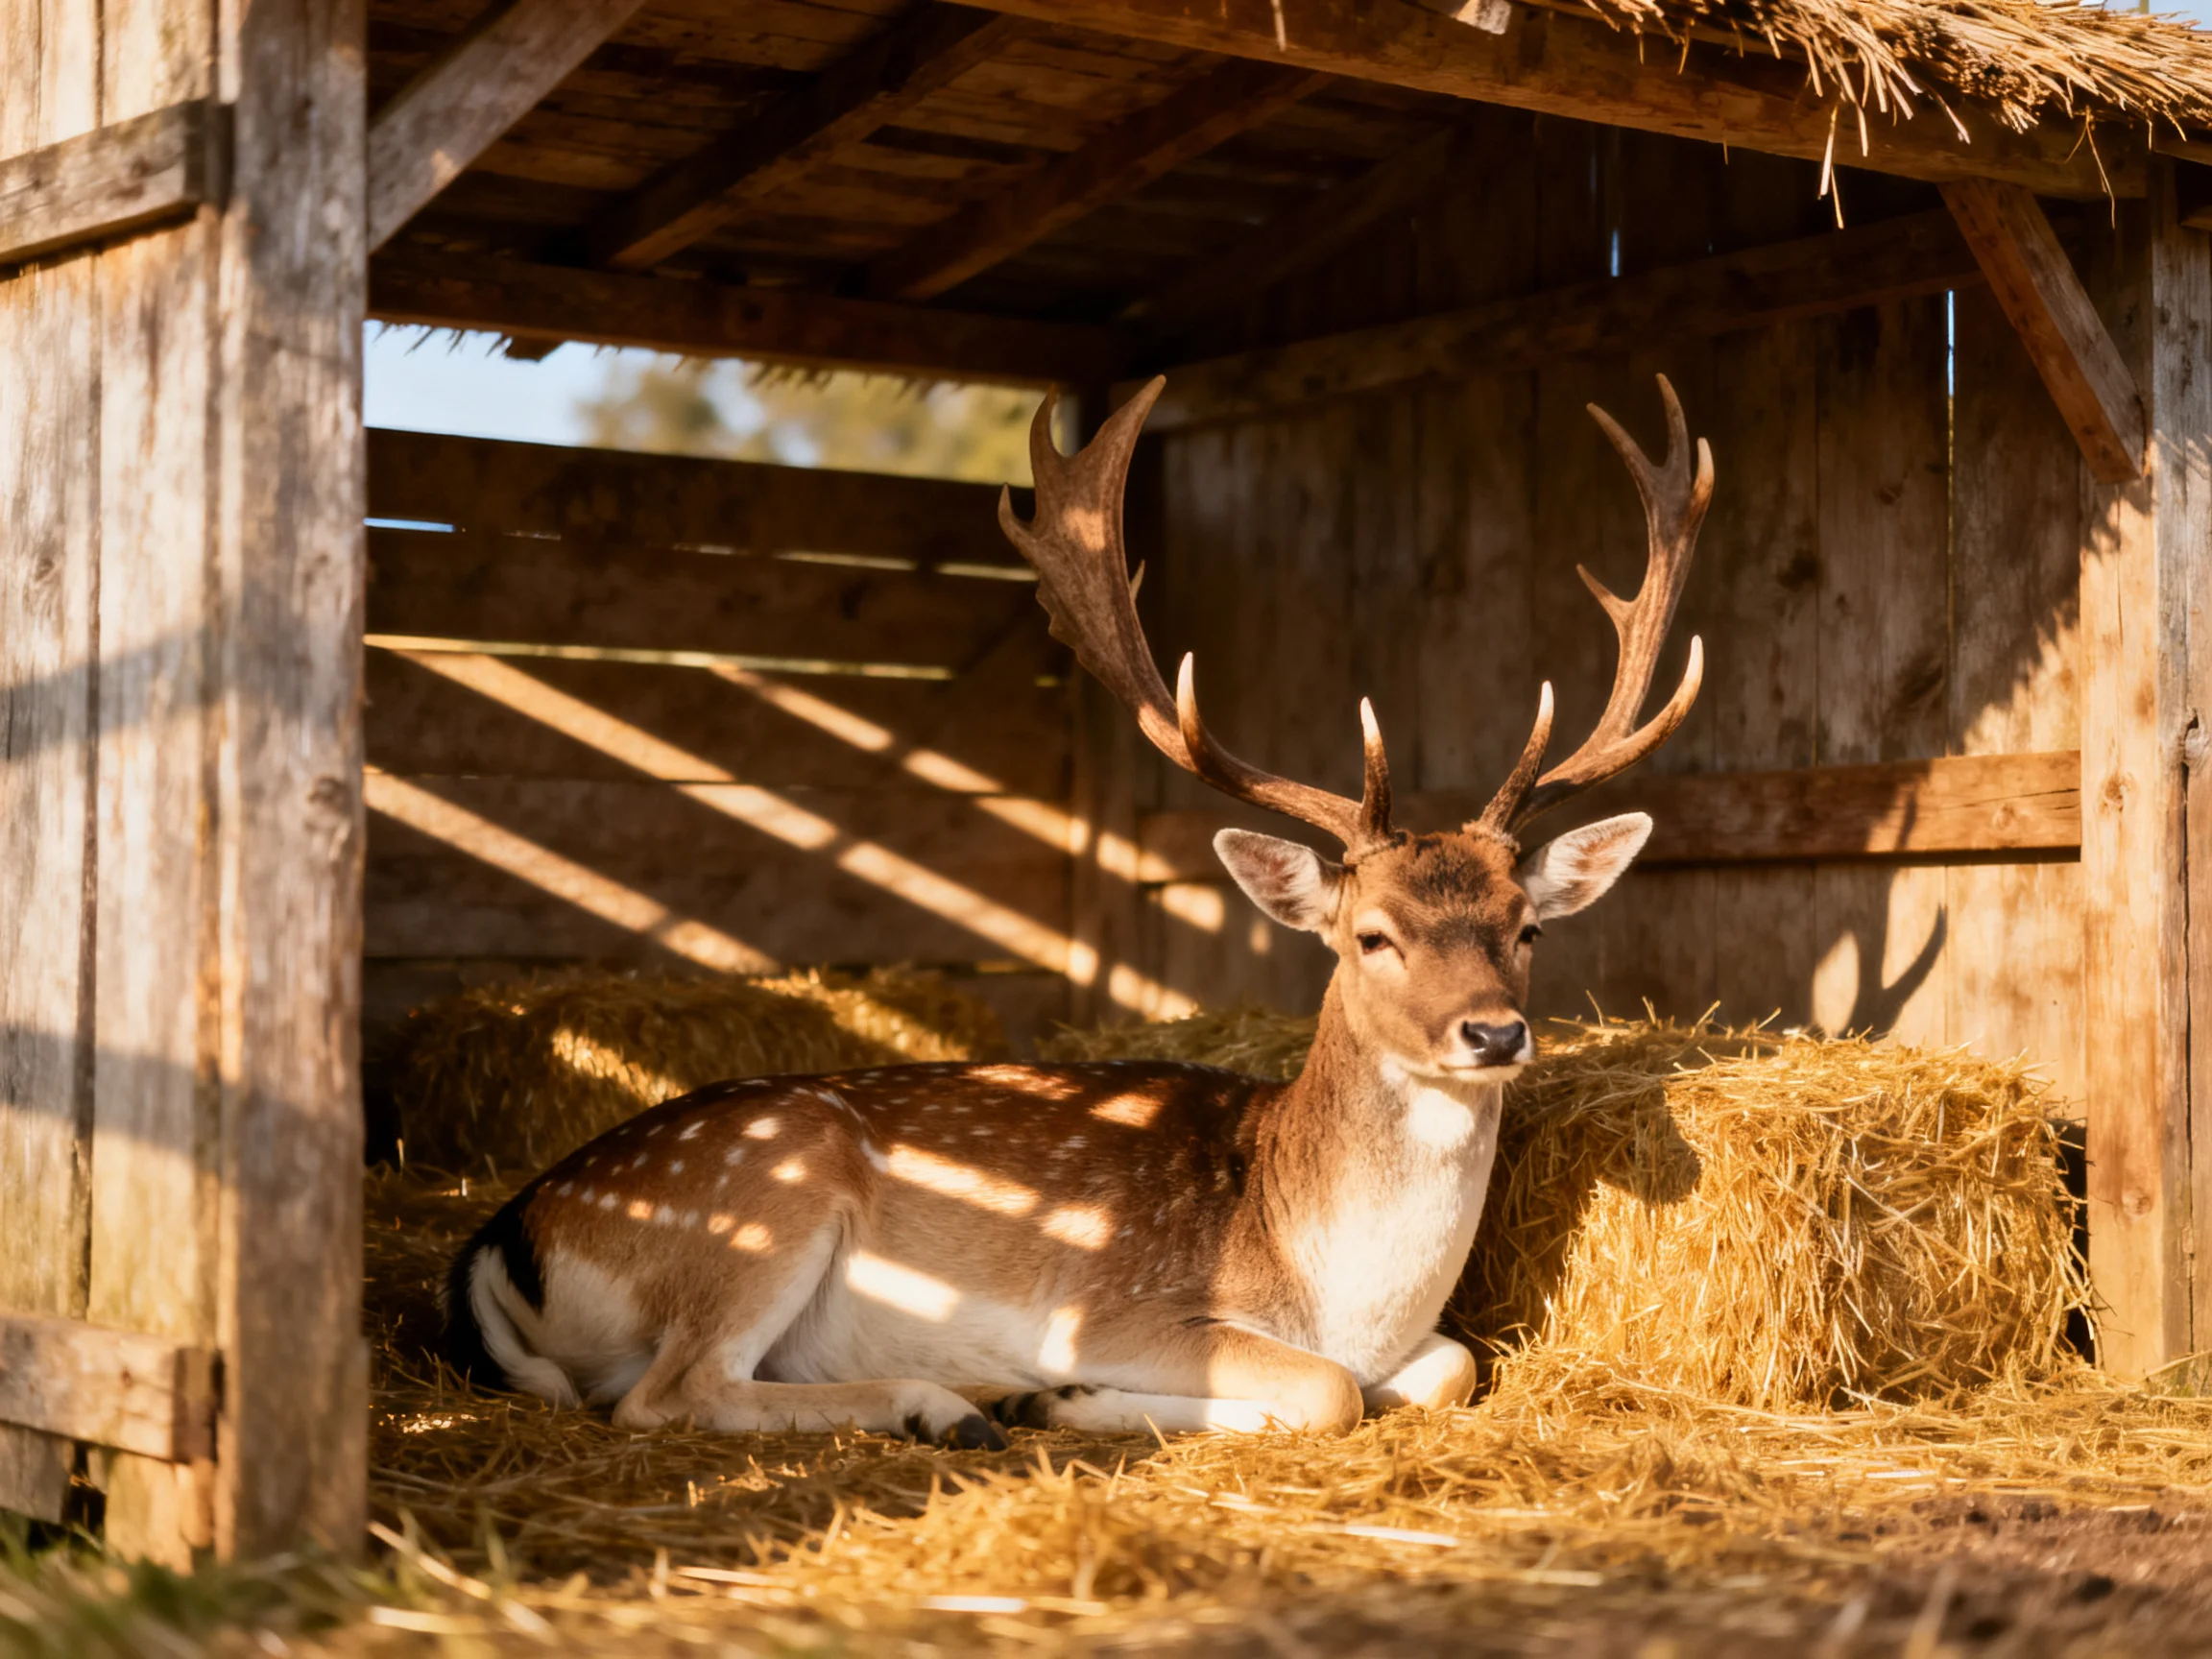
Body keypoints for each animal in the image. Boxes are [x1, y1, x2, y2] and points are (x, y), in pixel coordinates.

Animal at [443, 374, 1712, 1448]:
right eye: (1372, 936)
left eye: (1528, 926)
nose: (1493, 1032)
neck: (1336, 1286)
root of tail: (504, 1241)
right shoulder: (1122, 1304)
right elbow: (1328, 1391)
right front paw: (1065, 1393)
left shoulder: (1414, 1347)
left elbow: (1447, 1367)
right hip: (761, 1197)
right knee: (665, 1394)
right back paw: (952, 1403)